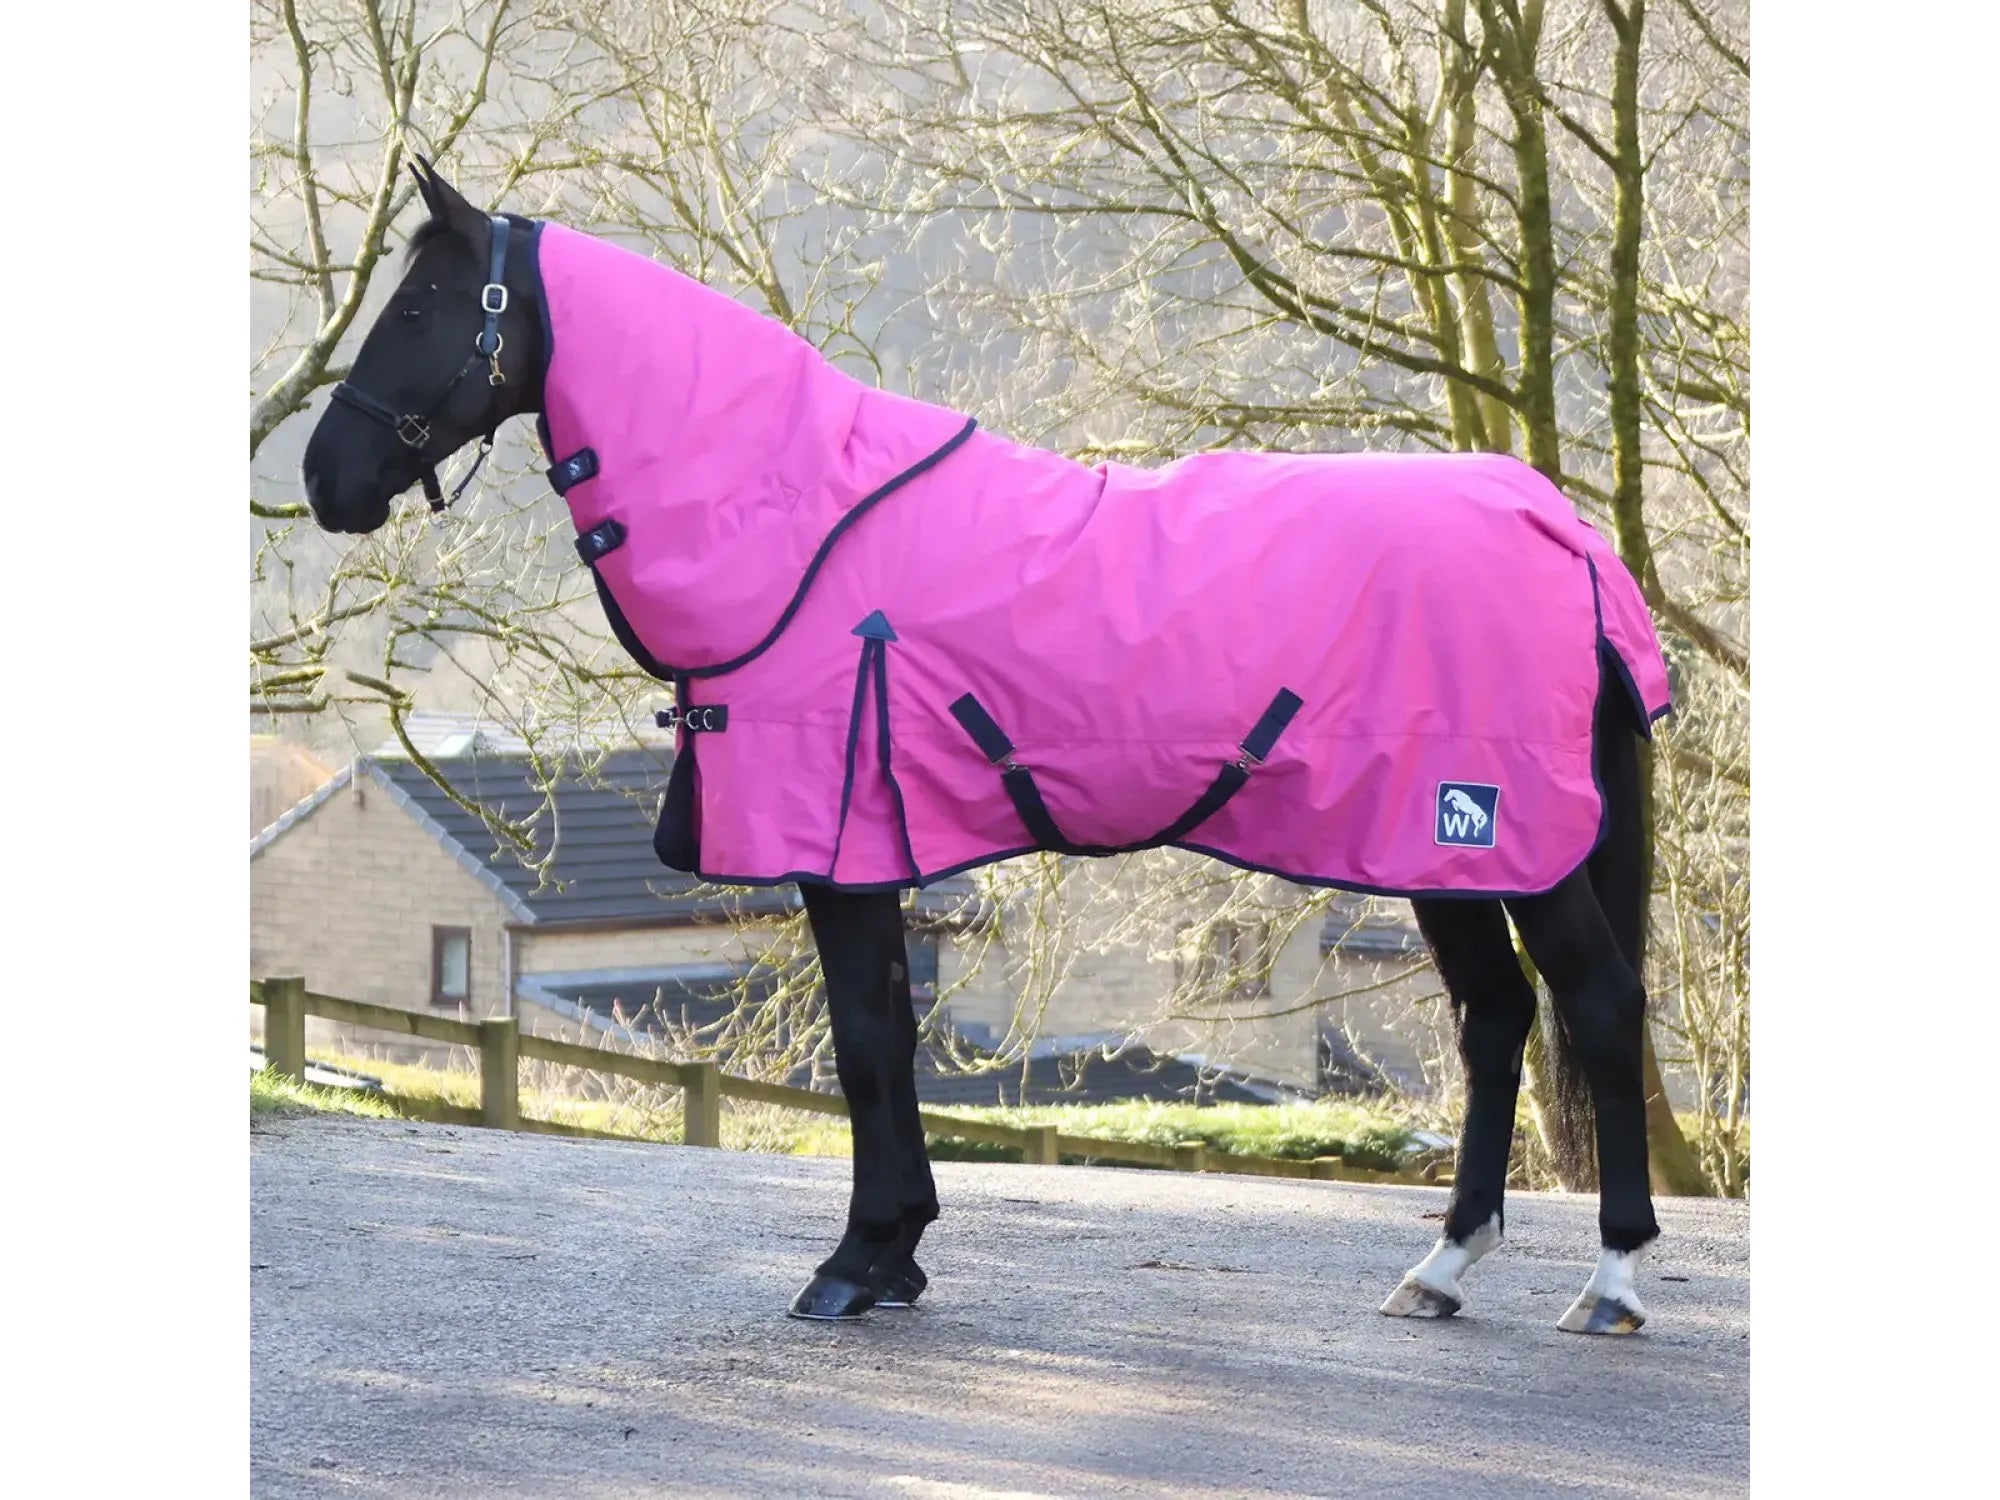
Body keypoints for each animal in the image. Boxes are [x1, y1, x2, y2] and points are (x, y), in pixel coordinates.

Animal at [300, 158, 1666, 1336]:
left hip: (1516, 842)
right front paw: (895, 1253)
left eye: (420, 306)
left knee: (1596, 1007)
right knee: (1494, 1019)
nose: (324, 478)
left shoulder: (840, 843)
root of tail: (1560, 530)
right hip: (1445, 853)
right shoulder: (871, 851)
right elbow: (888, 1038)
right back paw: (1441, 1265)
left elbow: (862, 1043)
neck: (799, 527)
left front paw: (855, 1264)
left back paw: (1611, 1281)